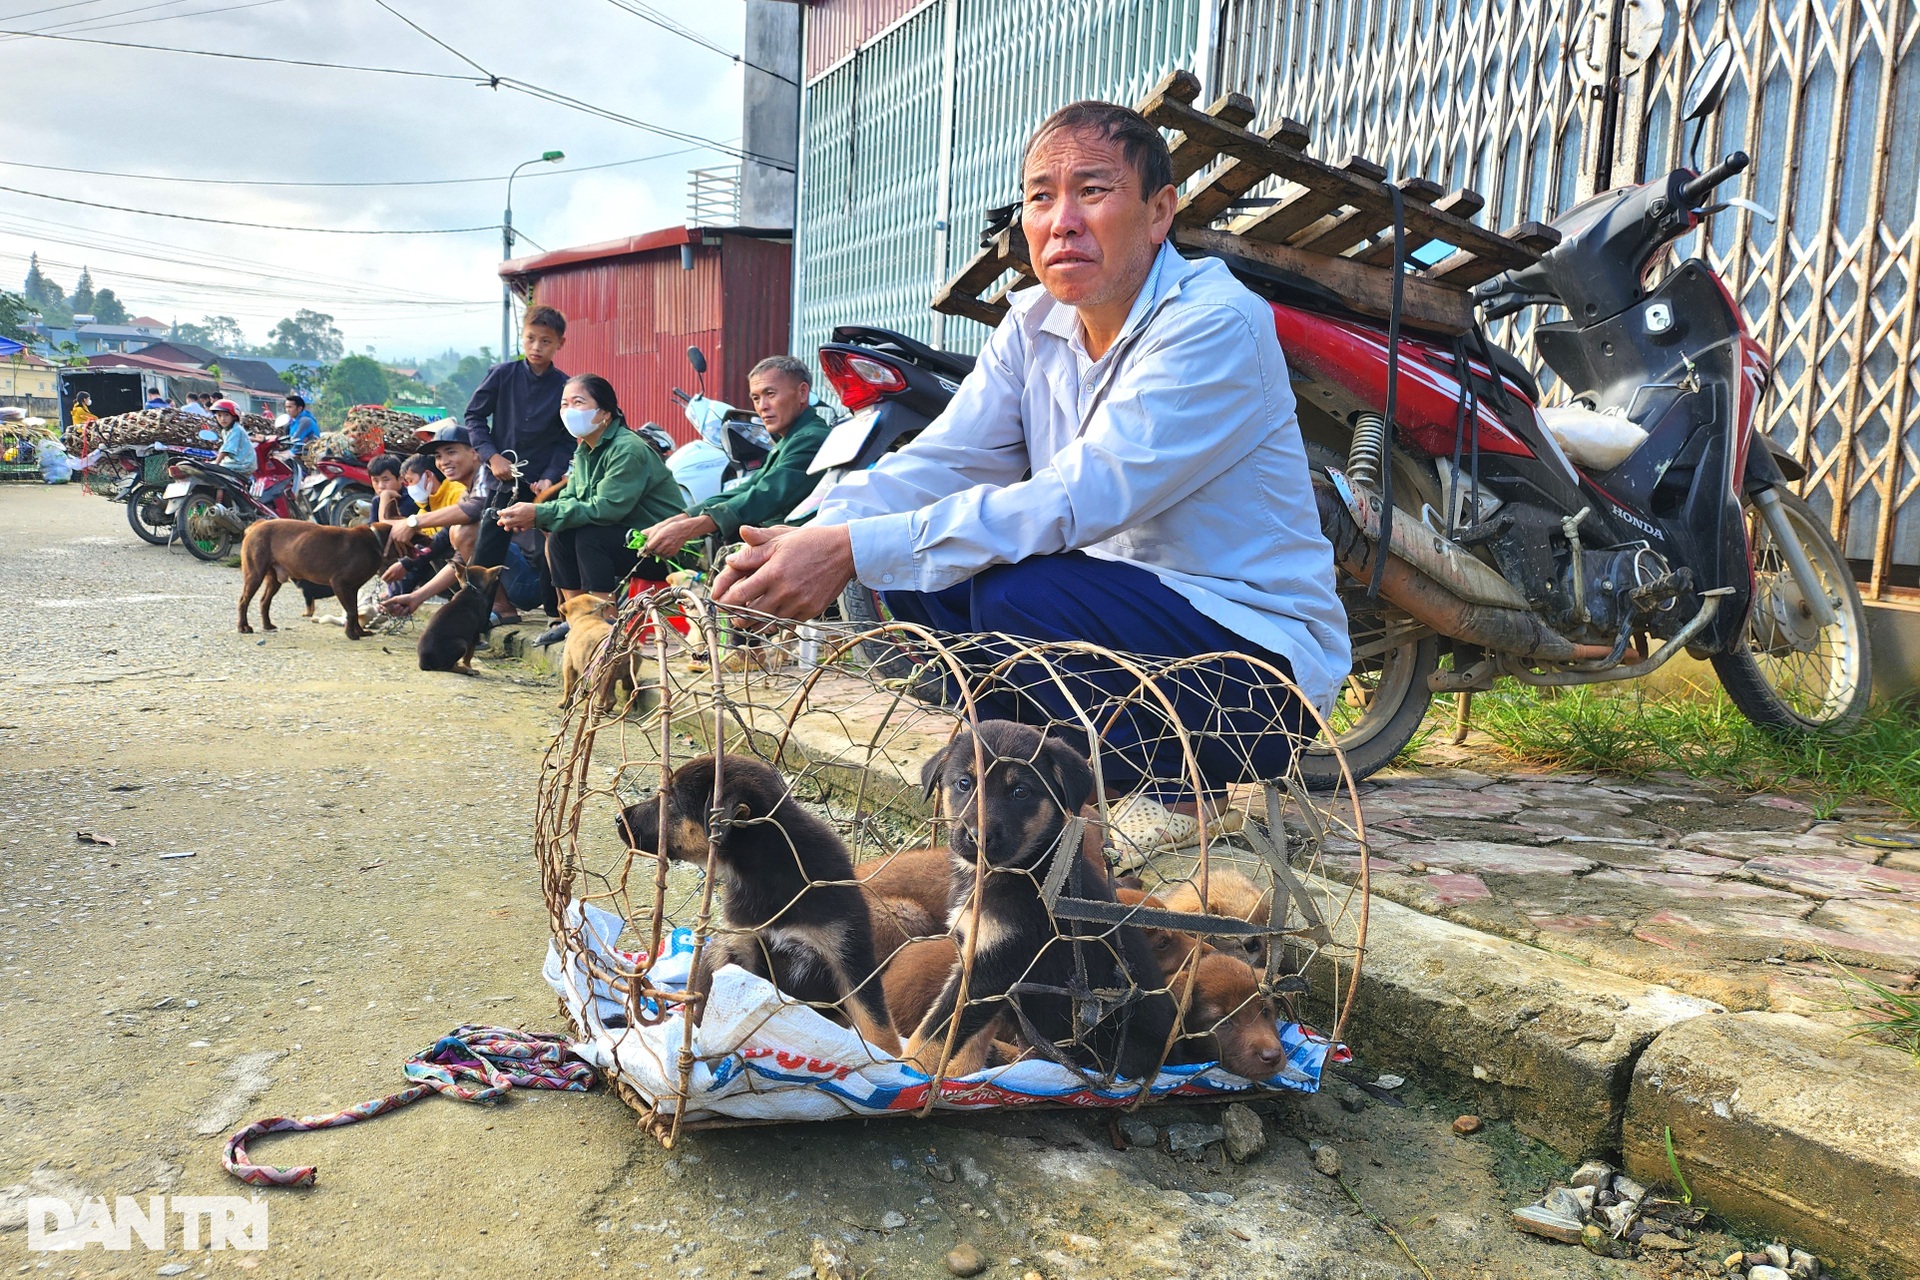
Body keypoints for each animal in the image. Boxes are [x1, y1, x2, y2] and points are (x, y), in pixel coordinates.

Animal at [622, 756, 906, 1059]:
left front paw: (893, 1061)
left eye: (672, 802)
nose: (619, 818)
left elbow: (875, 1020)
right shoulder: (744, 946)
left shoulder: (848, 953)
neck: (767, 864)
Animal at [902, 721, 1182, 1082]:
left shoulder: (995, 965)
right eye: (964, 784)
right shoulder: (978, 959)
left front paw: (906, 1069)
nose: (978, 838)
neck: (1021, 871)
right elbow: (969, 1036)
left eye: (1020, 792)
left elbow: (934, 1033)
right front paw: (958, 1073)